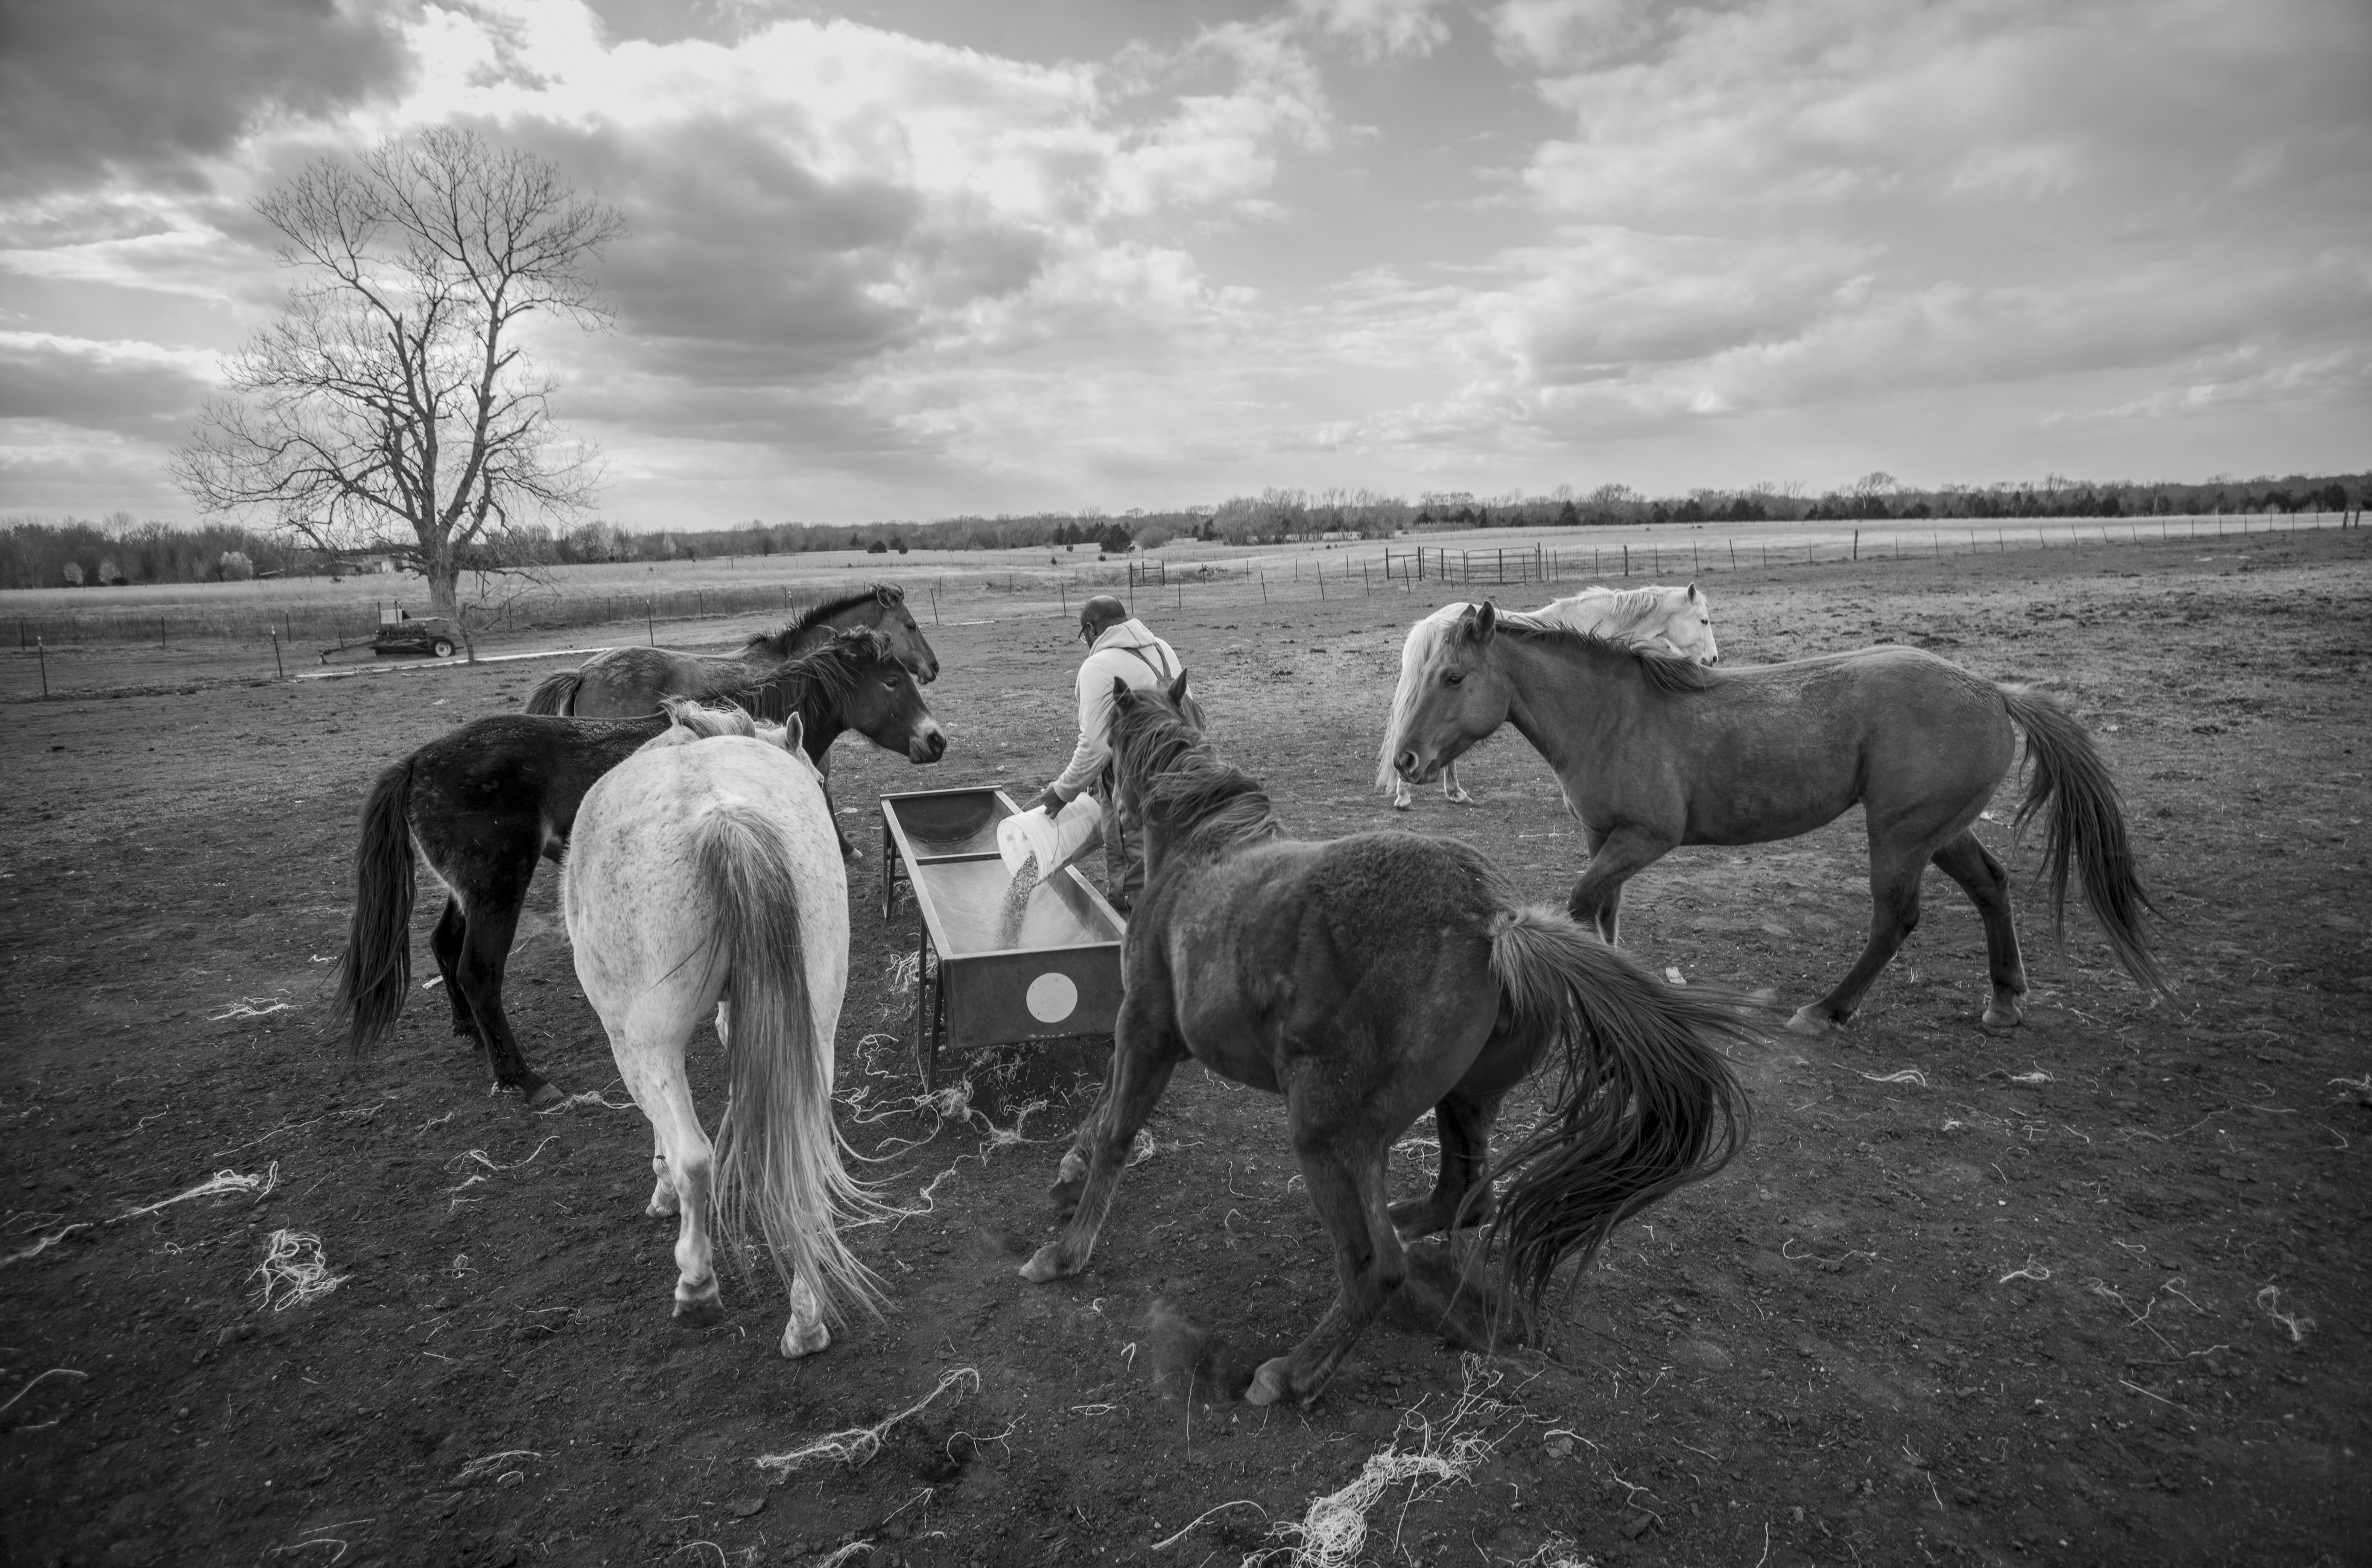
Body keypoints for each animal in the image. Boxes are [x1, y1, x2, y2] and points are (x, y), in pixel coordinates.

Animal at [335, 629, 947, 1105]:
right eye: (892, 682)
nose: (936, 739)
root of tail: (419, 761)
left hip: (470, 890)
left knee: (444, 944)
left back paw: (468, 1031)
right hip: (498, 889)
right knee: (479, 972)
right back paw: (522, 1077)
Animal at [561, 702, 882, 1356]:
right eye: (818, 779)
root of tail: (722, 816)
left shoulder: (634, 1045)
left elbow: (665, 1141)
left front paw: (661, 1194)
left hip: (645, 1046)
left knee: (694, 1156)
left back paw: (697, 1282)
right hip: (813, 1030)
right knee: (799, 1159)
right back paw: (805, 1321)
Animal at [1021, 671, 1755, 1407]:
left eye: (1105, 743)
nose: (1095, 803)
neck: (1198, 847)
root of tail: (1496, 920)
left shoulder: (1144, 1030)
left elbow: (1116, 1128)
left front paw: (1065, 1250)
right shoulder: (1142, 1035)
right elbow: (1105, 1110)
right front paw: (1069, 1171)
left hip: (1327, 1132)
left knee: (1378, 1265)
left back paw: (1291, 1373)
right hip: (1458, 1104)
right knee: (1463, 1200)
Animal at [1392, 602, 2170, 1037]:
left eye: (1453, 677)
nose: (1405, 758)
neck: (1611, 713)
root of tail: (1990, 689)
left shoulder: (1644, 837)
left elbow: (1584, 902)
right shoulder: (1604, 838)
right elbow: (1603, 909)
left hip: (1899, 835)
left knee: (1894, 918)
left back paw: (1826, 1011)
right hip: (1940, 830)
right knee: (1991, 887)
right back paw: (2004, 1001)